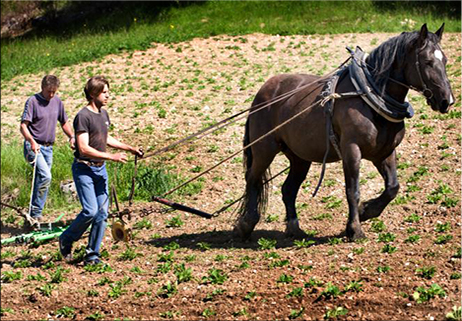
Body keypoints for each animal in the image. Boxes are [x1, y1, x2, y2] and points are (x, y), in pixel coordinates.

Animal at [235, 23, 454, 240]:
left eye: (445, 60)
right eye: (427, 61)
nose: (447, 101)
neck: (370, 99)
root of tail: (262, 92)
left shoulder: (384, 152)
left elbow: (393, 187)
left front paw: (367, 211)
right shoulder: (351, 150)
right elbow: (352, 191)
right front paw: (355, 229)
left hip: (300, 157)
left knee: (288, 189)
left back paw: (294, 228)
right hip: (264, 148)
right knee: (252, 179)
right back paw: (246, 224)